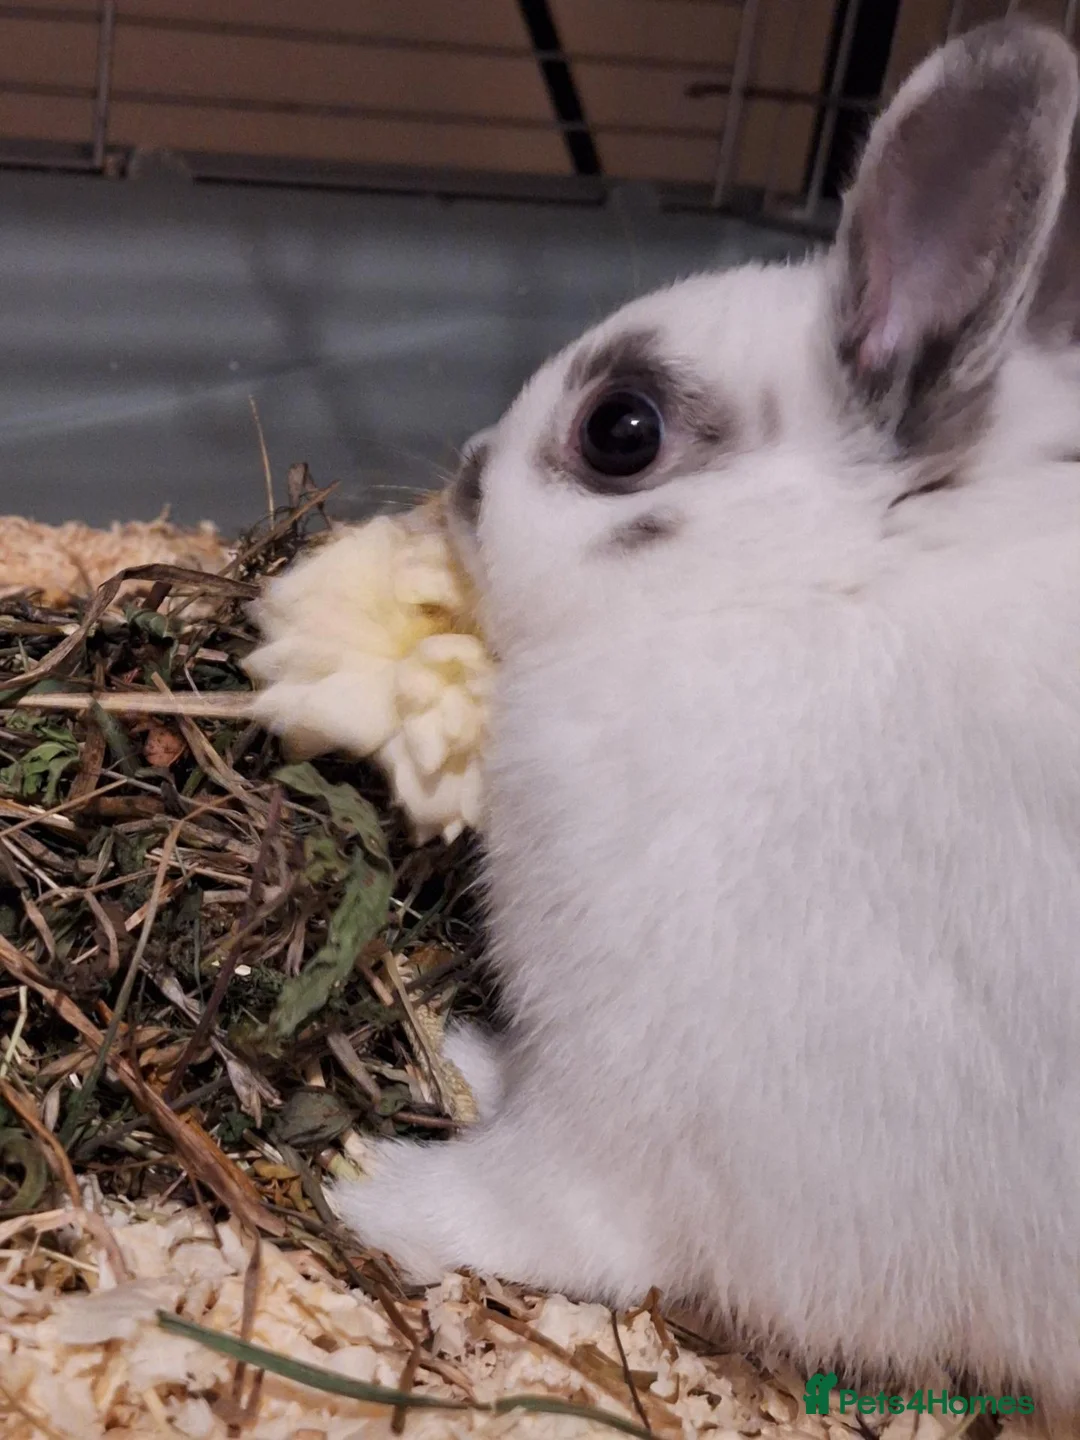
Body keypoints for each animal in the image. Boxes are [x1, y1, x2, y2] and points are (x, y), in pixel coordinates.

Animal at [334, 17, 1080, 1409]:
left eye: (620, 430)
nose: (463, 479)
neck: (820, 581)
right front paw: (466, 1051)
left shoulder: (643, 1083)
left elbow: (549, 1210)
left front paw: (378, 1184)